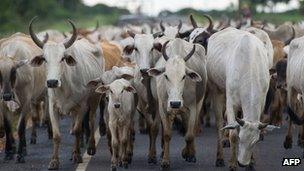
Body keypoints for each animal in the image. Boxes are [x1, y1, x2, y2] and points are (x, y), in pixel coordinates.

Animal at [28, 16, 104, 169]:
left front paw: (77, 156)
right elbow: (57, 135)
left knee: (92, 120)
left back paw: (90, 147)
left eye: (62, 58)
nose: (52, 82)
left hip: (94, 99)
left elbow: (77, 130)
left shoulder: (82, 106)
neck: (65, 87)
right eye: (44, 59)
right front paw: (54, 161)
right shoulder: (52, 107)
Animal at [147, 38, 208, 168]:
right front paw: (165, 161)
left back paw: (189, 152)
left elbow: (189, 134)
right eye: (166, 76)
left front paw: (190, 154)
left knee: (191, 128)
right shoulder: (163, 108)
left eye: (184, 76)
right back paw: (152, 155)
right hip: (159, 106)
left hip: (198, 103)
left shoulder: (192, 108)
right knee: (155, 128)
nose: (175, 103)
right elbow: (166, 134)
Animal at [208, 27, 274, 169]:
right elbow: (232, 133)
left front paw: (252, 162)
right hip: (216, 90)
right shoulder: (231, 102)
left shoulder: (261, 102)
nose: (242, 164)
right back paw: (219, 157)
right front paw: (232, 164)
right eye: (240, 139)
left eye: (255, 142)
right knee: (219, 123)